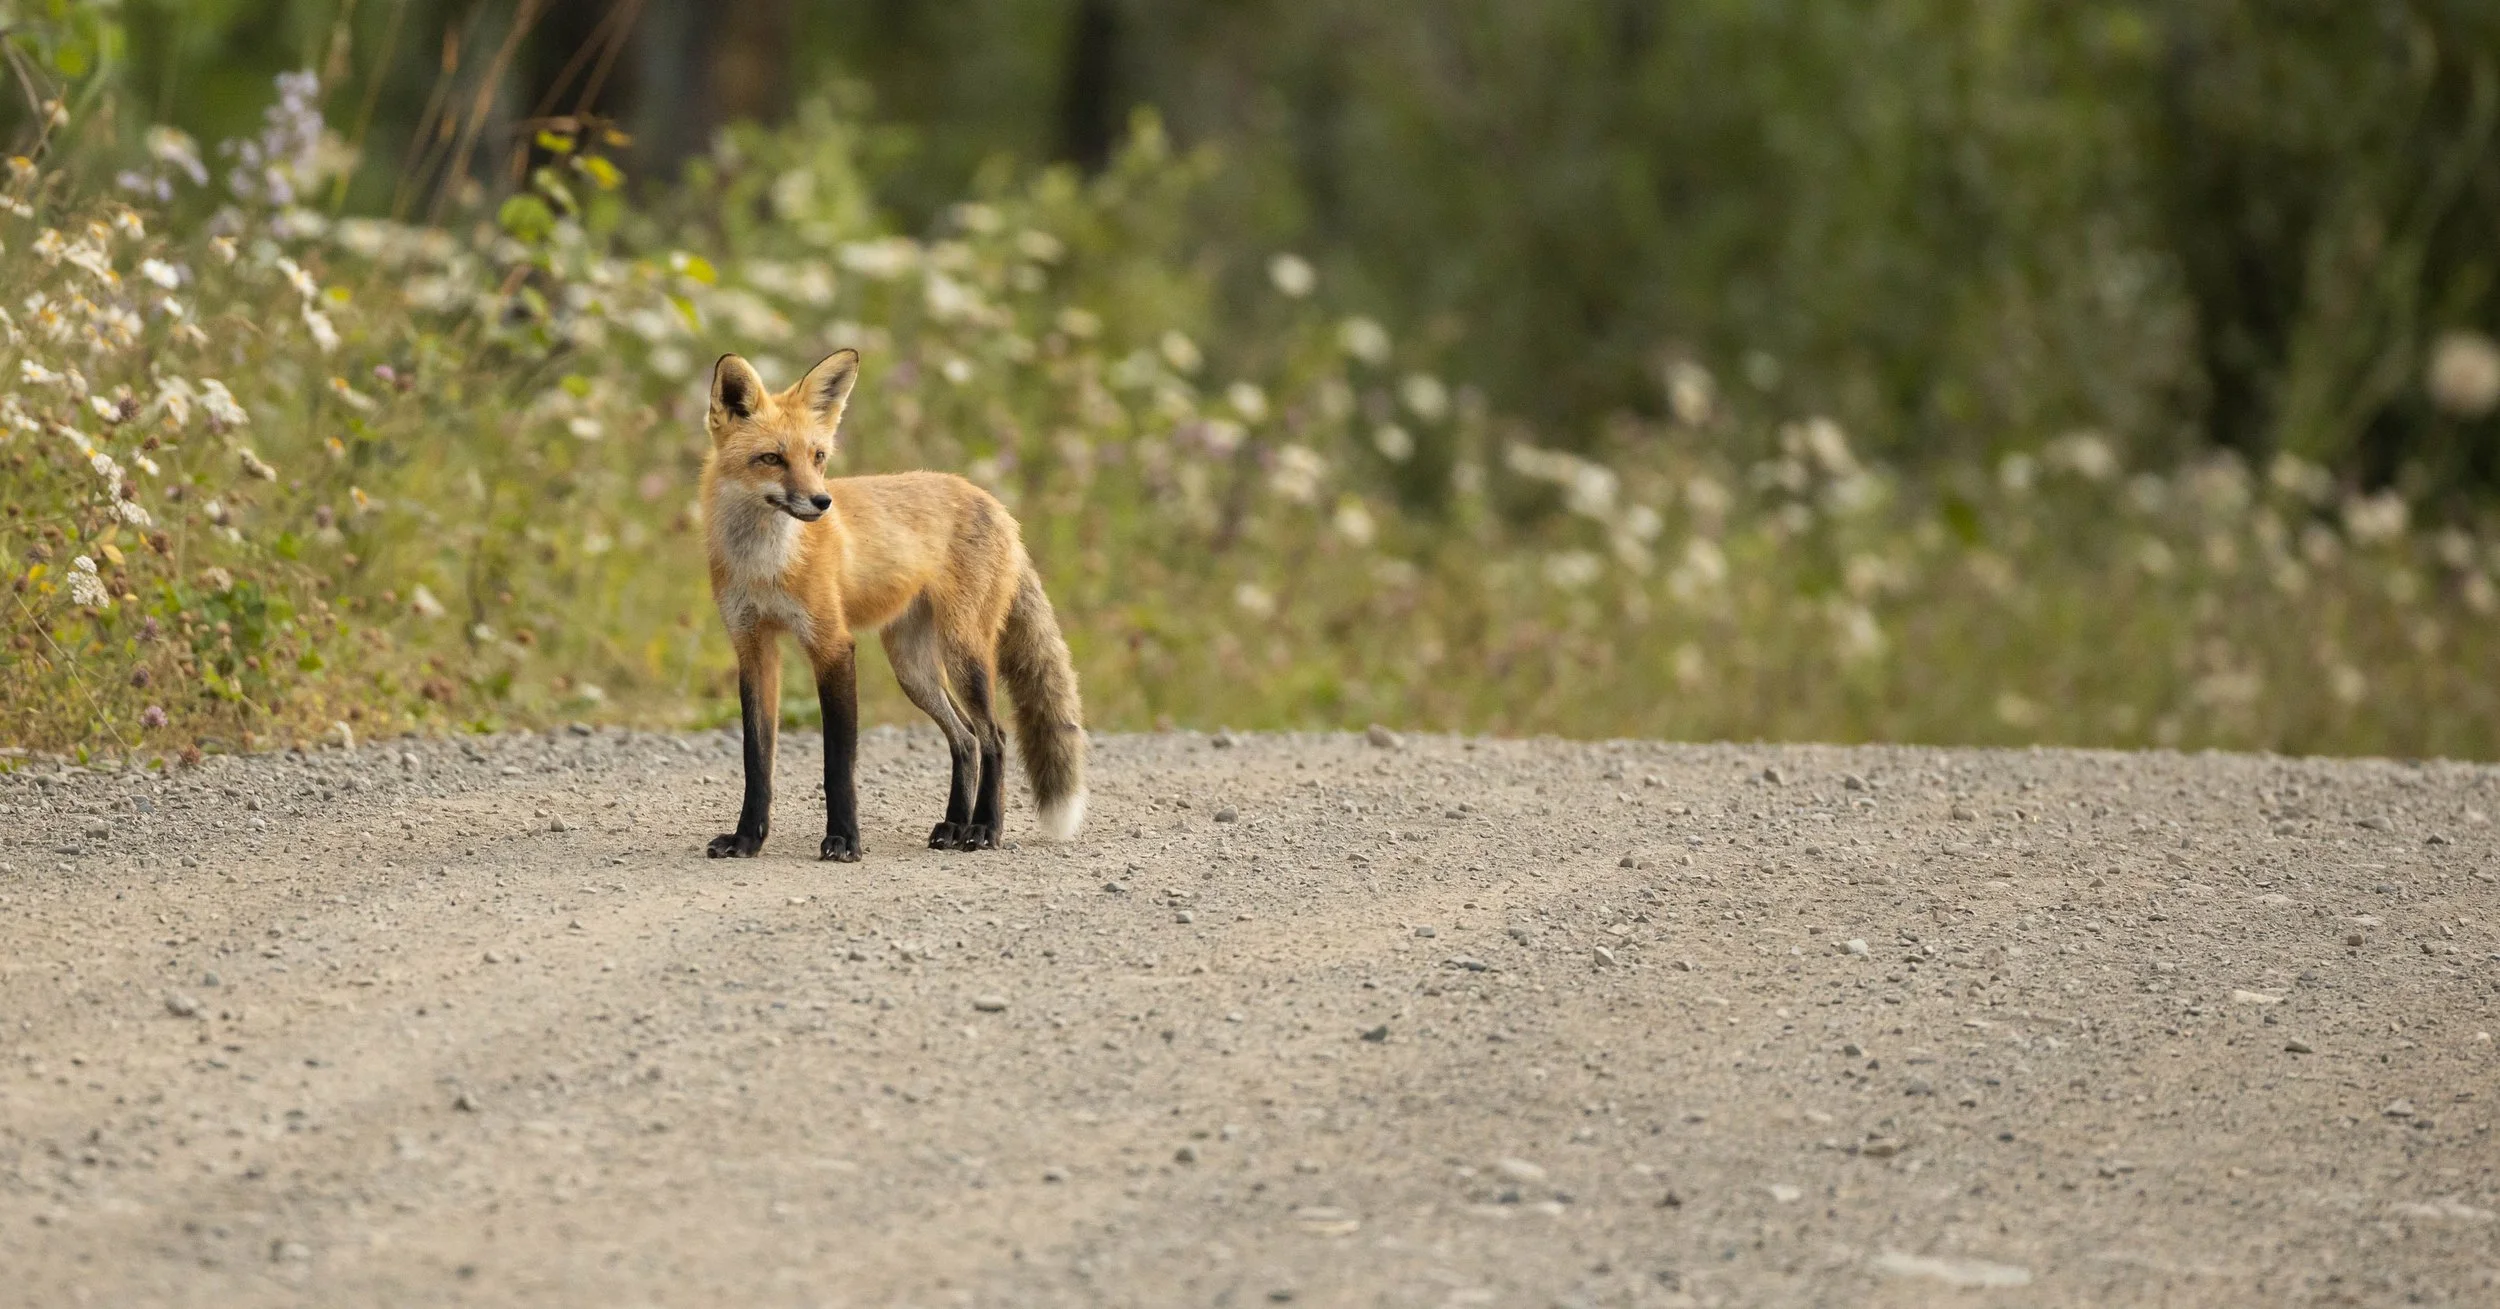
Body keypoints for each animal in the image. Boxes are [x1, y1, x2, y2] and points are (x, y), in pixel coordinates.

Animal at [697, 349, 1087, 861]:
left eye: (818, 457)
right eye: (772, 459)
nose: (822, 501)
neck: (766, 564)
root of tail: (996, 504)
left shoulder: (832, 646)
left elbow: (838, 764)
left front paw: (844, 840)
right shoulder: (753, 647)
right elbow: (756, 761)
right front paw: (747, 838)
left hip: (963, 655)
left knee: (995, 737)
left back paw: (985, 829)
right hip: (913, 670)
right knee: (965, 739)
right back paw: (953, 826)